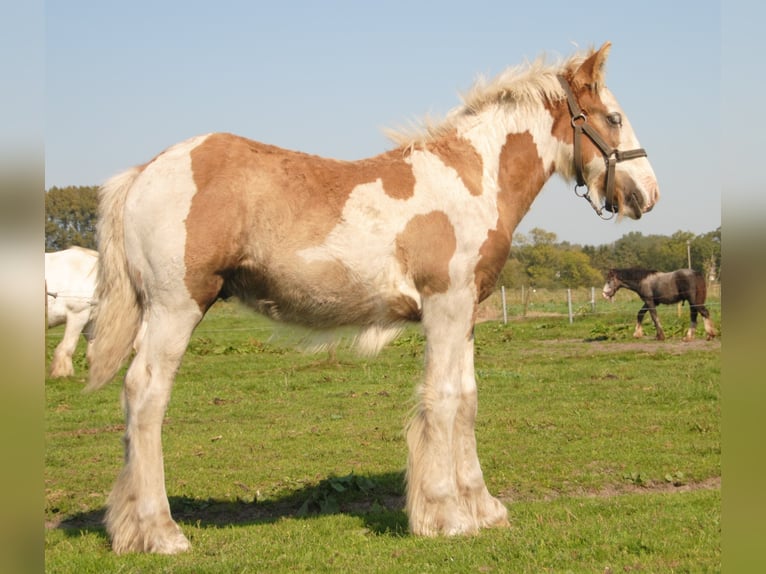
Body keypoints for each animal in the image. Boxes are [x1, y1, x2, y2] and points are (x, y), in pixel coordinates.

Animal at [85, 42, 660, 556]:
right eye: (613, 118)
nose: (647, 194)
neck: (468, 182)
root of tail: (143, 172)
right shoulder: (444, 307)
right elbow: (441, 399)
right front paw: (446, 516)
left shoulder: (467, 314)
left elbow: (467, 399)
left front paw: (484, 508)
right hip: (175, 307)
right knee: (145, 395)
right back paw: (161, 533)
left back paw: (129, 531)